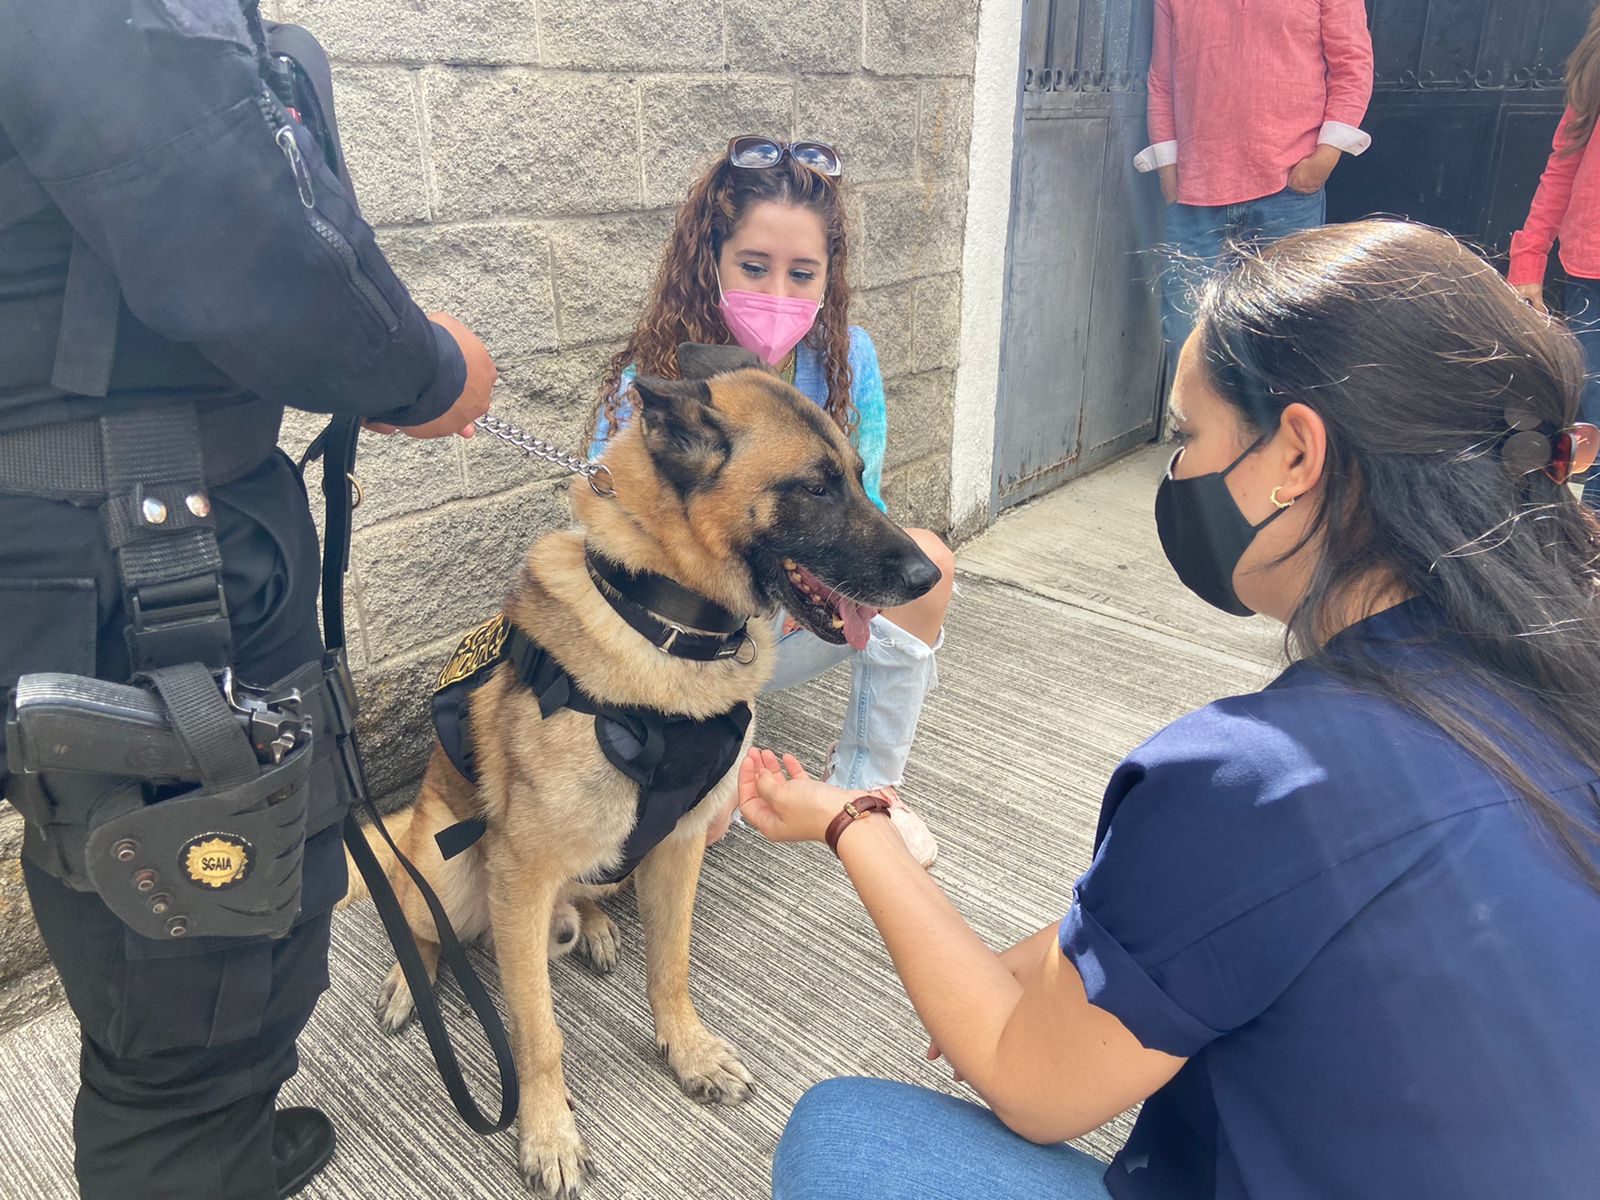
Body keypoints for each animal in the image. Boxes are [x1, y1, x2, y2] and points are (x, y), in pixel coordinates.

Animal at [345, 342, 940, 1196]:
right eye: (816, 486)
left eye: (860, 475)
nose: (928, 577)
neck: (669, 620)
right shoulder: (520, 873)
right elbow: (536, 1032)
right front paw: (549, 1132)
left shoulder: (677, 846)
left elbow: (672, 966)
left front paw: (685, 1052)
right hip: (447, 866)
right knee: (422, 921)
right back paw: (411, 980)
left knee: (581, 897)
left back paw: (589, 925)